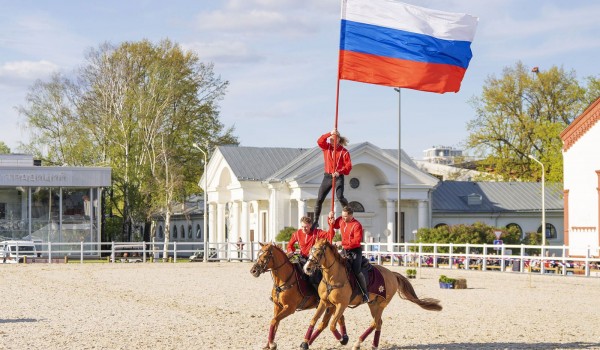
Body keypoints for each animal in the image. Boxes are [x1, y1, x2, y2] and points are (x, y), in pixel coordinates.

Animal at [304, 239, 440, 348]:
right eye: (310, 251)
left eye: (318, 253)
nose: (307, 268)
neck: (333, 277)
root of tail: (392, 274)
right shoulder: (325, 302)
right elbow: (315, 321)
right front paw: (305, 342)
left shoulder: (341, 305)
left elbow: (331, 325)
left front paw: (343, 339)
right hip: (373, 304)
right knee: (378, 323)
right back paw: (374, 345)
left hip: (381, 304)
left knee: (374, 322)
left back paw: (358, 343)